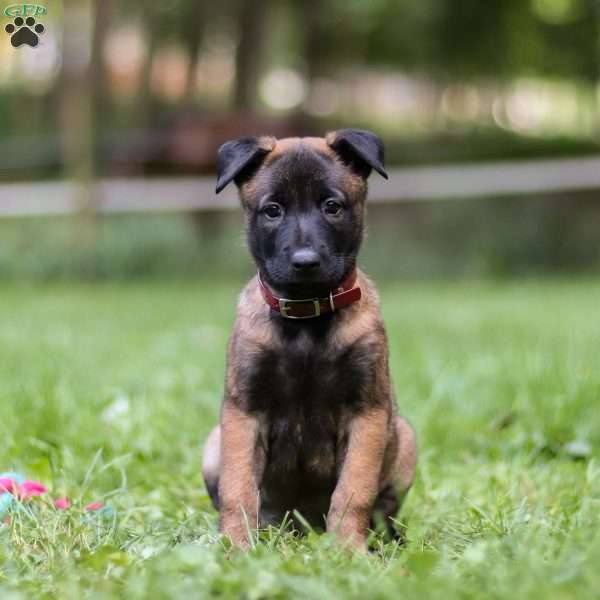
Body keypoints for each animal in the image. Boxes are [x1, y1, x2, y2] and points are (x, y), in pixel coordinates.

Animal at [202, 129, 418, 552]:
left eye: (332, 206)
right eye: (272, 210)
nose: (304, 262)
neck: (306, 321)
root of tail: (302, 526)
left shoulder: (366, 412)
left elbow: (354, 490)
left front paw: (348, 549)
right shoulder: (244, 412)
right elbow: (238, 489)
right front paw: (236, 547)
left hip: (404, 436)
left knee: (384, 509)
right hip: (213, 443)